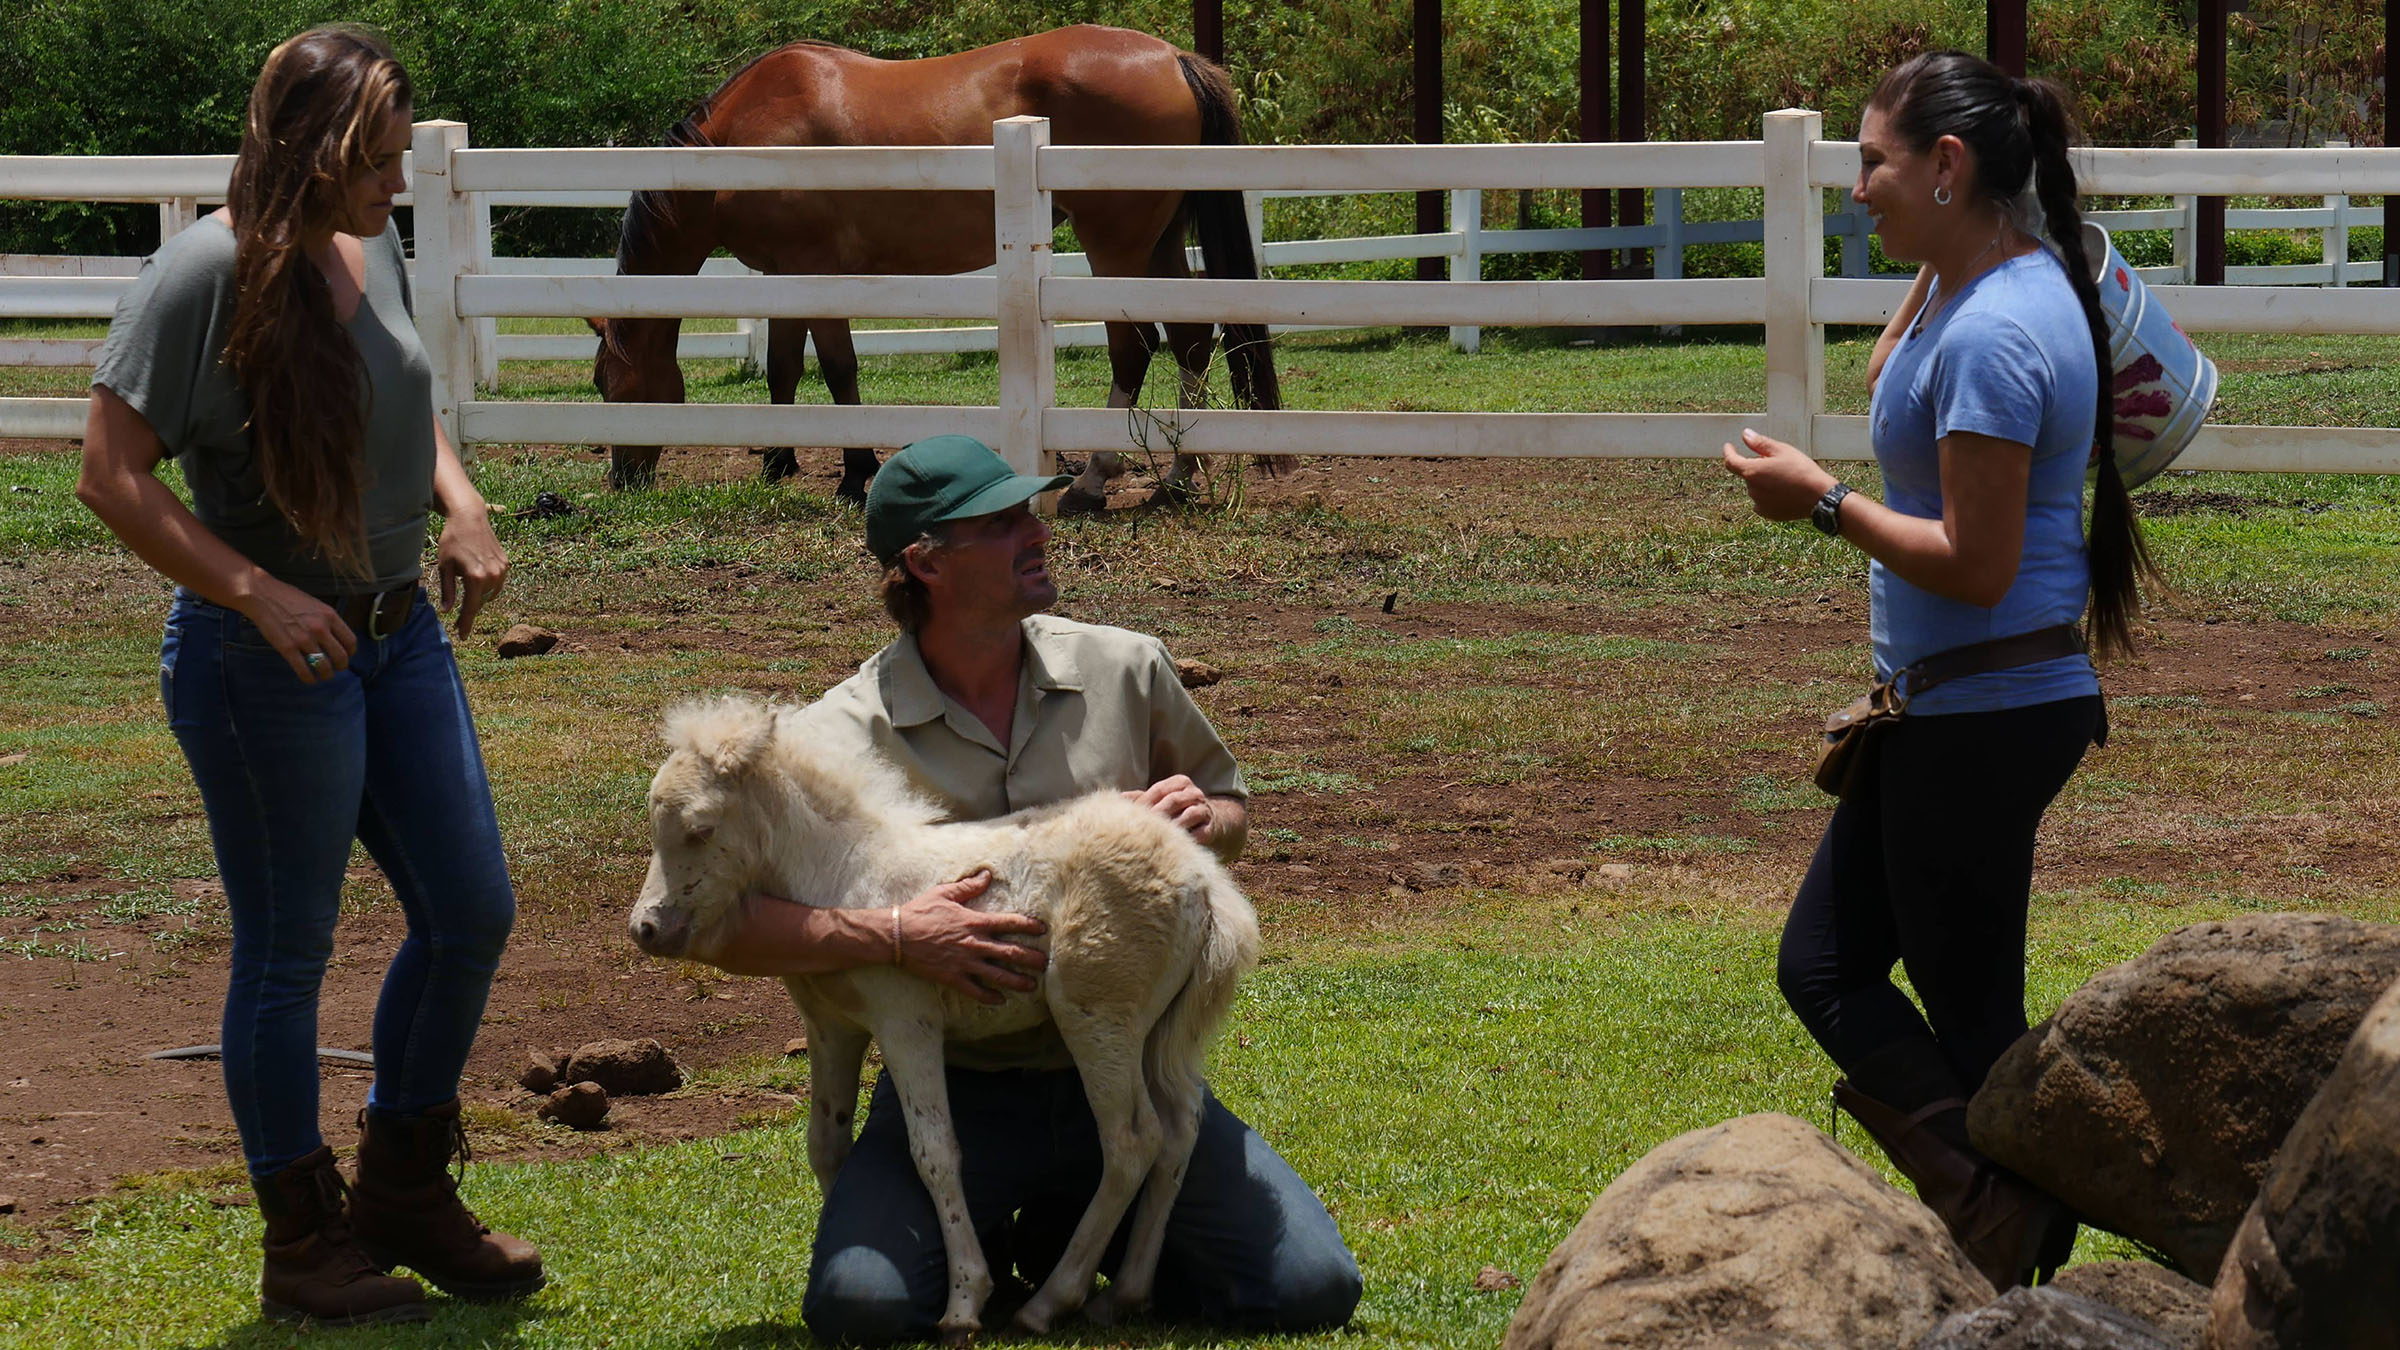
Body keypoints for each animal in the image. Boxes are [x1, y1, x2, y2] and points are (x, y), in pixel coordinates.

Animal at [591, 25, 1282, 507]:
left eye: (608, 388)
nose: (623, 479)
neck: (742, 143)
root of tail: (1172, 58)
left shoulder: (816, 271)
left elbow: (838, 371)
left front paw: (856, 475)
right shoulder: (786, 275)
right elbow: (784, 369)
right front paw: (777, 463)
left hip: (1116, 247)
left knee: (1134, 347)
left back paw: (1092, 480)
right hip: (1158, 245)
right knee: (1191, 339)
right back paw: (1178, 477)